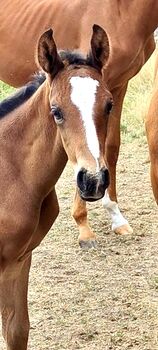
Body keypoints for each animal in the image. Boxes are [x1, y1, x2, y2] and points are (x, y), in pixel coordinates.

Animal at [0, 0, 158, 249]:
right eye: (55, 111)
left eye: (108, 106)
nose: (94, 183)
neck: (122, 11)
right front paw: (84, 227)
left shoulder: (119, 85)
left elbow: (110, 147)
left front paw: (116, 216)